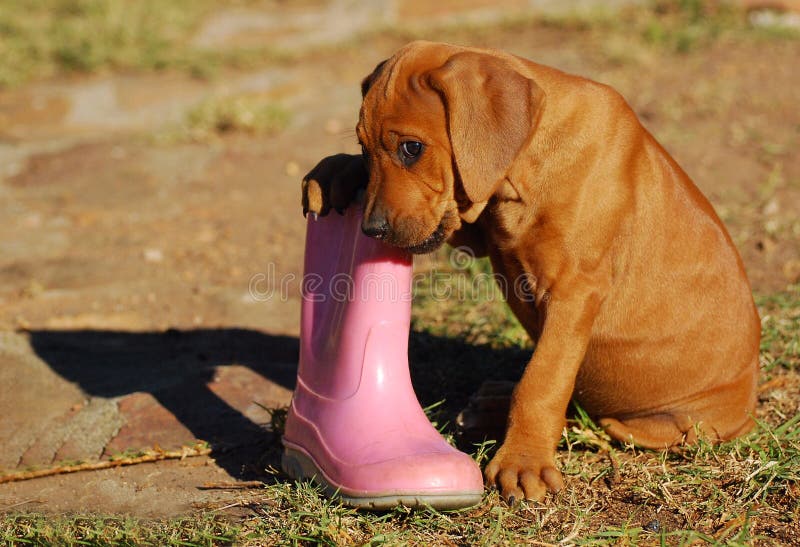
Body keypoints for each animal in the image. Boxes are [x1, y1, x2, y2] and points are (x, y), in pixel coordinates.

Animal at [302, 41, 764, 506]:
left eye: (411, 148)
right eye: (365, 150)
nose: (372, 229)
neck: (526, 161)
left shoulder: (573, 293)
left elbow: (542, 382)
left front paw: (522, 462)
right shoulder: (475, 219)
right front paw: (334, 172)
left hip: (676, 424)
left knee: (597, 419)